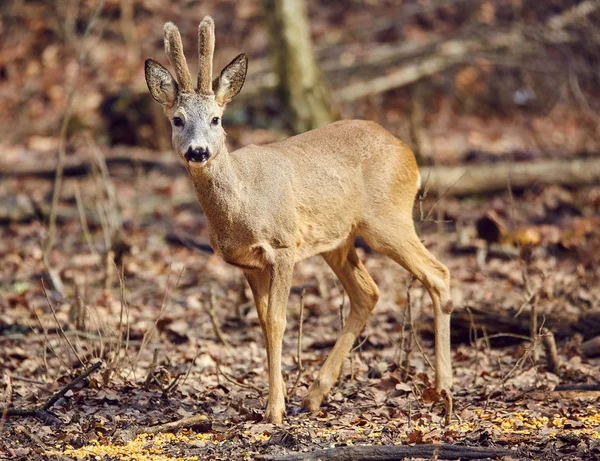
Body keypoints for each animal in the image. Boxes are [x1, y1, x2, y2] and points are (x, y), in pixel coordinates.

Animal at [145, 15, 452, 424]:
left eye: (216, 118)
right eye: (177, 120)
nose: (198, 151)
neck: (243, 199)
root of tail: (409, 153)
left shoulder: (283, 244)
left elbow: (278, 320)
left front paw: (274, 410)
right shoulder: (248, 263)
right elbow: (263, 323)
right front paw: (274, 401)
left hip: (388, 219)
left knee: (438, 274)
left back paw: (444, 391)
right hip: (338, 240)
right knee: (368, 293)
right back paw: (315, 395)